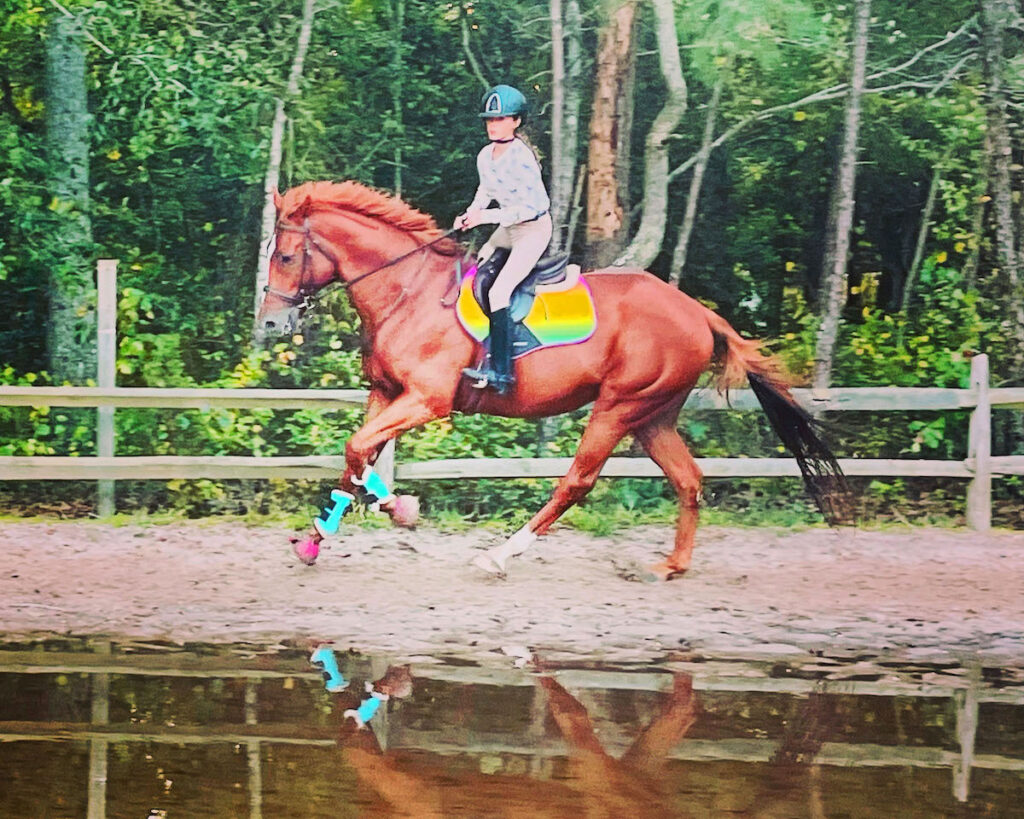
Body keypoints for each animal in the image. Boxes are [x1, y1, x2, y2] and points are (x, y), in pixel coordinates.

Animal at [257, 181, 849, 580]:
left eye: (284, 255)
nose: (269, 325)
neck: (408, 292)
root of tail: (698, 313)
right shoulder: (385, 394)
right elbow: (355, 457)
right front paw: (319, 539)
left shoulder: (426, 399)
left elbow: (358, 452)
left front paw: (400, 512)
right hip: (653, 416)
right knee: (688, 479)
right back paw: (672, 565)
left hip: (618, 407)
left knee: (578, 481)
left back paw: (501, 554)